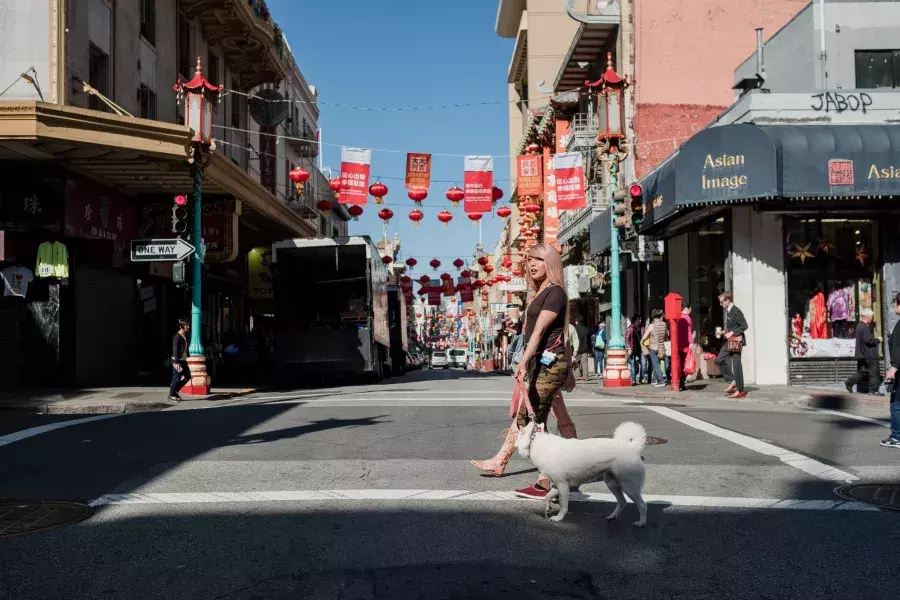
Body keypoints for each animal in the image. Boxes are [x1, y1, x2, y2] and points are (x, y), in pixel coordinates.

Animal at [512, 418, 648, 524]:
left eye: (517, 435)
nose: (513, 443)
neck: (534, 441)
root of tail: (633, 448)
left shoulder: (562, 485)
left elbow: (563, 505)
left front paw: (558, 518)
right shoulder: (557, 485)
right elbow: (547, 496)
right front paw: (548, 509)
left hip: (628, 486)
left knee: (642, 505)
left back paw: (641, 523)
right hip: (612, 483)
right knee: (622, 502)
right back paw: (613, 516)